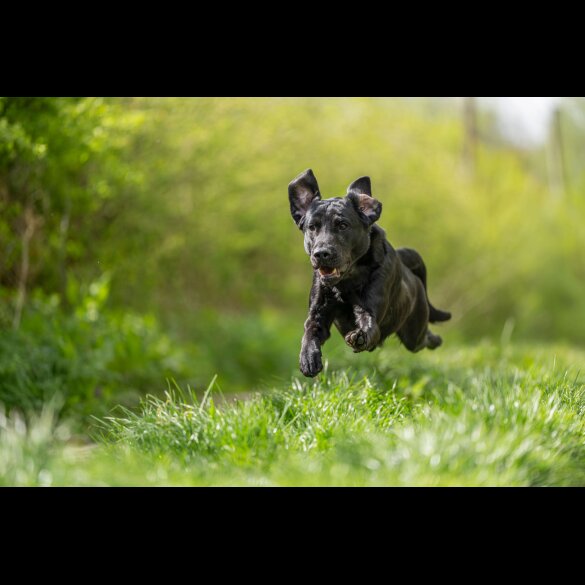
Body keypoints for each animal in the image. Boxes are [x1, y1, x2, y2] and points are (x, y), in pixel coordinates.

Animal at [288, 169, 452, 378]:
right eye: (312, 227)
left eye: (343, 225)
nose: (321, 253)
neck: (346, 283)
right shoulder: (318, 312)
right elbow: (310, 331)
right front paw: (308, 358)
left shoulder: (369, 309)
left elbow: (368, 326)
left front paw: (359, 336)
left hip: (414, 332)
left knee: (424, 338)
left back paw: (436, 339)